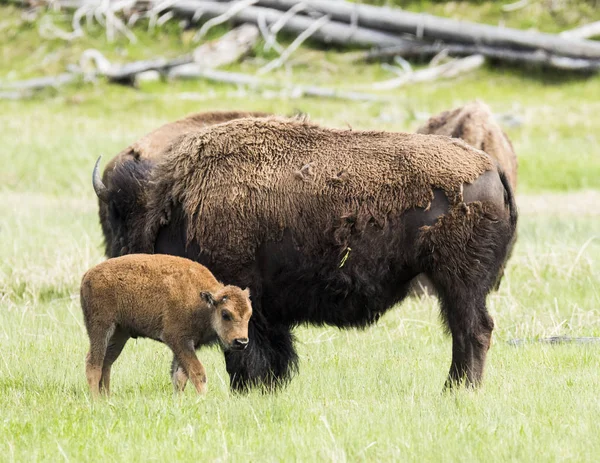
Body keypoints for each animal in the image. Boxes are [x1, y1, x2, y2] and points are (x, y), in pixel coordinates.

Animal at [79, 254, 251, 398]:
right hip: (101, 328)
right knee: (93, 363)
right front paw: (203, 399)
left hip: (119, 334)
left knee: (106, 363)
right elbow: (197, 372)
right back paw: (96, 400)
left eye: (249, 314)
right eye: (225, 314)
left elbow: (179, 377)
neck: (202, 302)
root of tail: (87, 275)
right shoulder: (178, 339)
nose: (241, 342)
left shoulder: (187, 346)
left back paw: (107, 398)